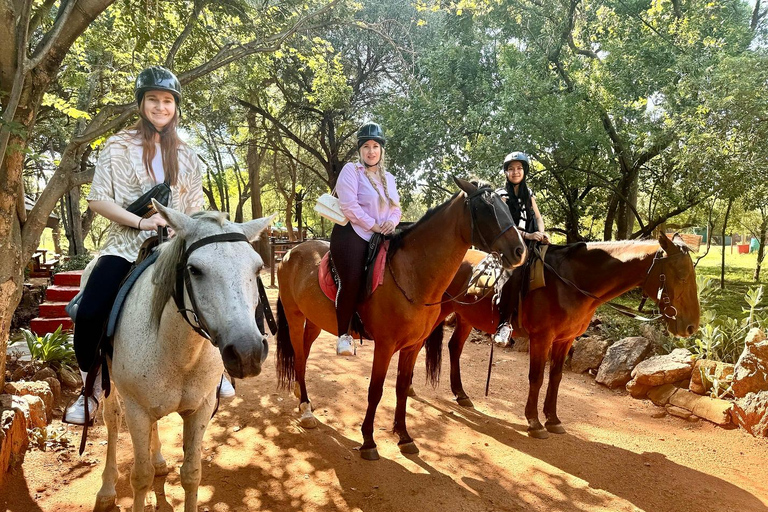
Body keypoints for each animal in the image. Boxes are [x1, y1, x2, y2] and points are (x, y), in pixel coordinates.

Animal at [91, 201, 274, 512]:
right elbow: (140, 477)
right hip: (111, 387)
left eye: (258, 267)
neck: (179, 355)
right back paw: (106, 489)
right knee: (112, 420)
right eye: (194, 269)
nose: (246, 352)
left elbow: (191, 473)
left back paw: (158, 461)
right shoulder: (136, 410)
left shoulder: (201, 408)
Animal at [274, 179, 528, 460]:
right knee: (298, 356)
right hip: (294, 316)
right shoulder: (384, 346)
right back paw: (306, 408)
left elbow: (402, 387)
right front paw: (368, 440)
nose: (520, 251)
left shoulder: (413, 346)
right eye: (486, 209)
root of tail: (290, 252)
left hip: (314, 321)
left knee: (305, 354)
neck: (411, 275)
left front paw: (404, 436)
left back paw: (301, 395)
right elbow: (376, 390)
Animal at [426, 234, 704, 438]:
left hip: (465, 317)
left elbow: (556, 378)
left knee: (454, 347)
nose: (691, 327)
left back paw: (461, 394)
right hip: (440, 312)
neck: (570, 282)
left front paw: (553, 419)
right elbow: (537, 377)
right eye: (681, 275)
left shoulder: (564, 340)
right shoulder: (542, 338)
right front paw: (534, 421)